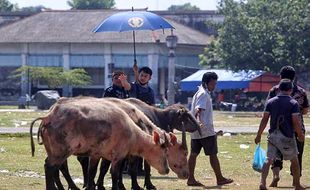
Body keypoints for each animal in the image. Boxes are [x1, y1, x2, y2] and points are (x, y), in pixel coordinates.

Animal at [30, 97, 171, 189]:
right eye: (164, 150)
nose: (167, 169)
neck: (132, 132)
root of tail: (48, 117)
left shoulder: (96, 155)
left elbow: (92, 172)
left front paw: (92, 186)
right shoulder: (118, 156)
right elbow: (115, 175)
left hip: (54, 152)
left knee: (56, 167)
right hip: (61, 152)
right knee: (50, 167)